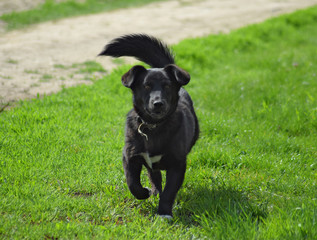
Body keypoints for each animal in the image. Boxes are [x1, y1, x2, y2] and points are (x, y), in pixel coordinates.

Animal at [99, 33, 198, 218]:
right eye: (146, 86)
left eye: (167, 86)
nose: (158, 103)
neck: (154, 127)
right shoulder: (130, 156)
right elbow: (132, 183)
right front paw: (144, 193)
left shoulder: (178, 164)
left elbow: (169, 191)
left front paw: (164, 213)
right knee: (154, 176)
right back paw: (154, 191)